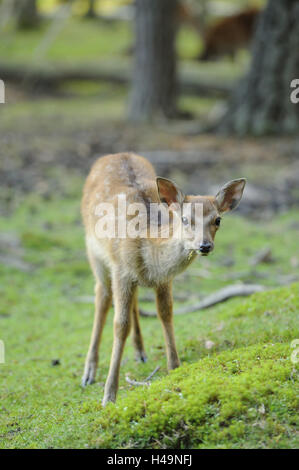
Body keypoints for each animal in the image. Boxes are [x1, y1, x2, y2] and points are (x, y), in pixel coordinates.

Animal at [80, 152, 246, 406]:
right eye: (186, 219)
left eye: (218, 220)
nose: (204, 246)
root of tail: (114, 155)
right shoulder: (120, 270)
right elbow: (120, 325)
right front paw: (109, 395)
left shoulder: (163, 280)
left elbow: (166, 313)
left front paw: (175, 367)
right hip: (94, 252)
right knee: (102, 296)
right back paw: (89, 372)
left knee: (133, 300)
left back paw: (140, 352)